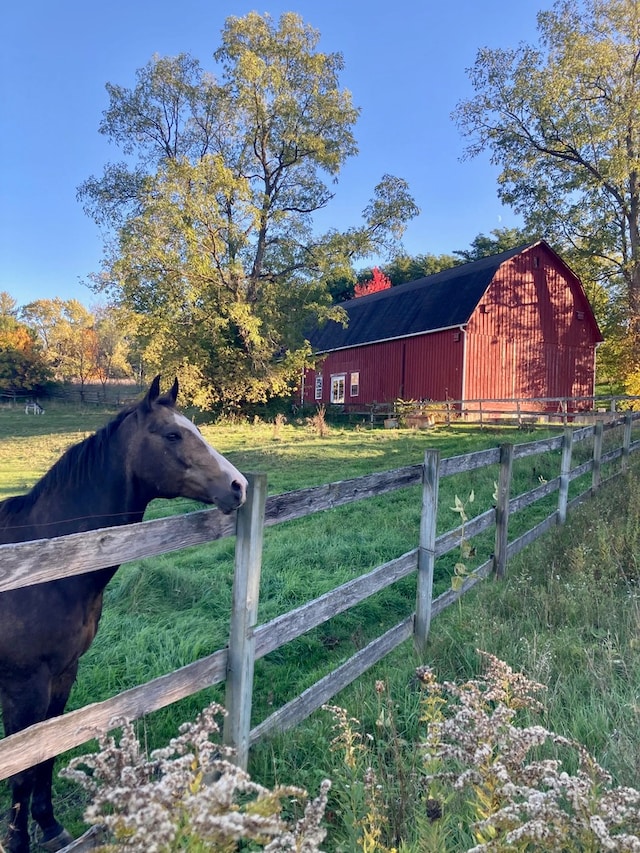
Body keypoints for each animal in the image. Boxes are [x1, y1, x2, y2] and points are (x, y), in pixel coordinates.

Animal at [0, 378, 248, 852]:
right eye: (172, 435)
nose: (238, 485)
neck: (44, 562)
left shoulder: (63, 675)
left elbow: (47, 755)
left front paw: (50, 826)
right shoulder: (24, 689)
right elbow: (21, 772)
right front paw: (19, 841)